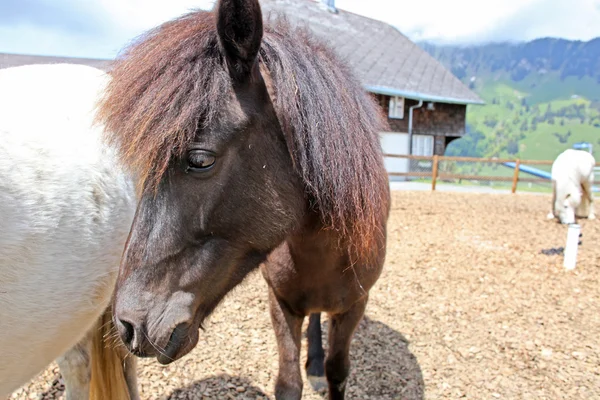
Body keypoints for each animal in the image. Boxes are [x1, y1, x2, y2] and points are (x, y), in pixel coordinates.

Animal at [98, 0, 390, 396]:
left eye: (200, 160)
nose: (127, 325)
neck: (324, 255)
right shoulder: (281, 304)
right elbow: (288, 383)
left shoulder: (355, 307)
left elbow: (338, 371)